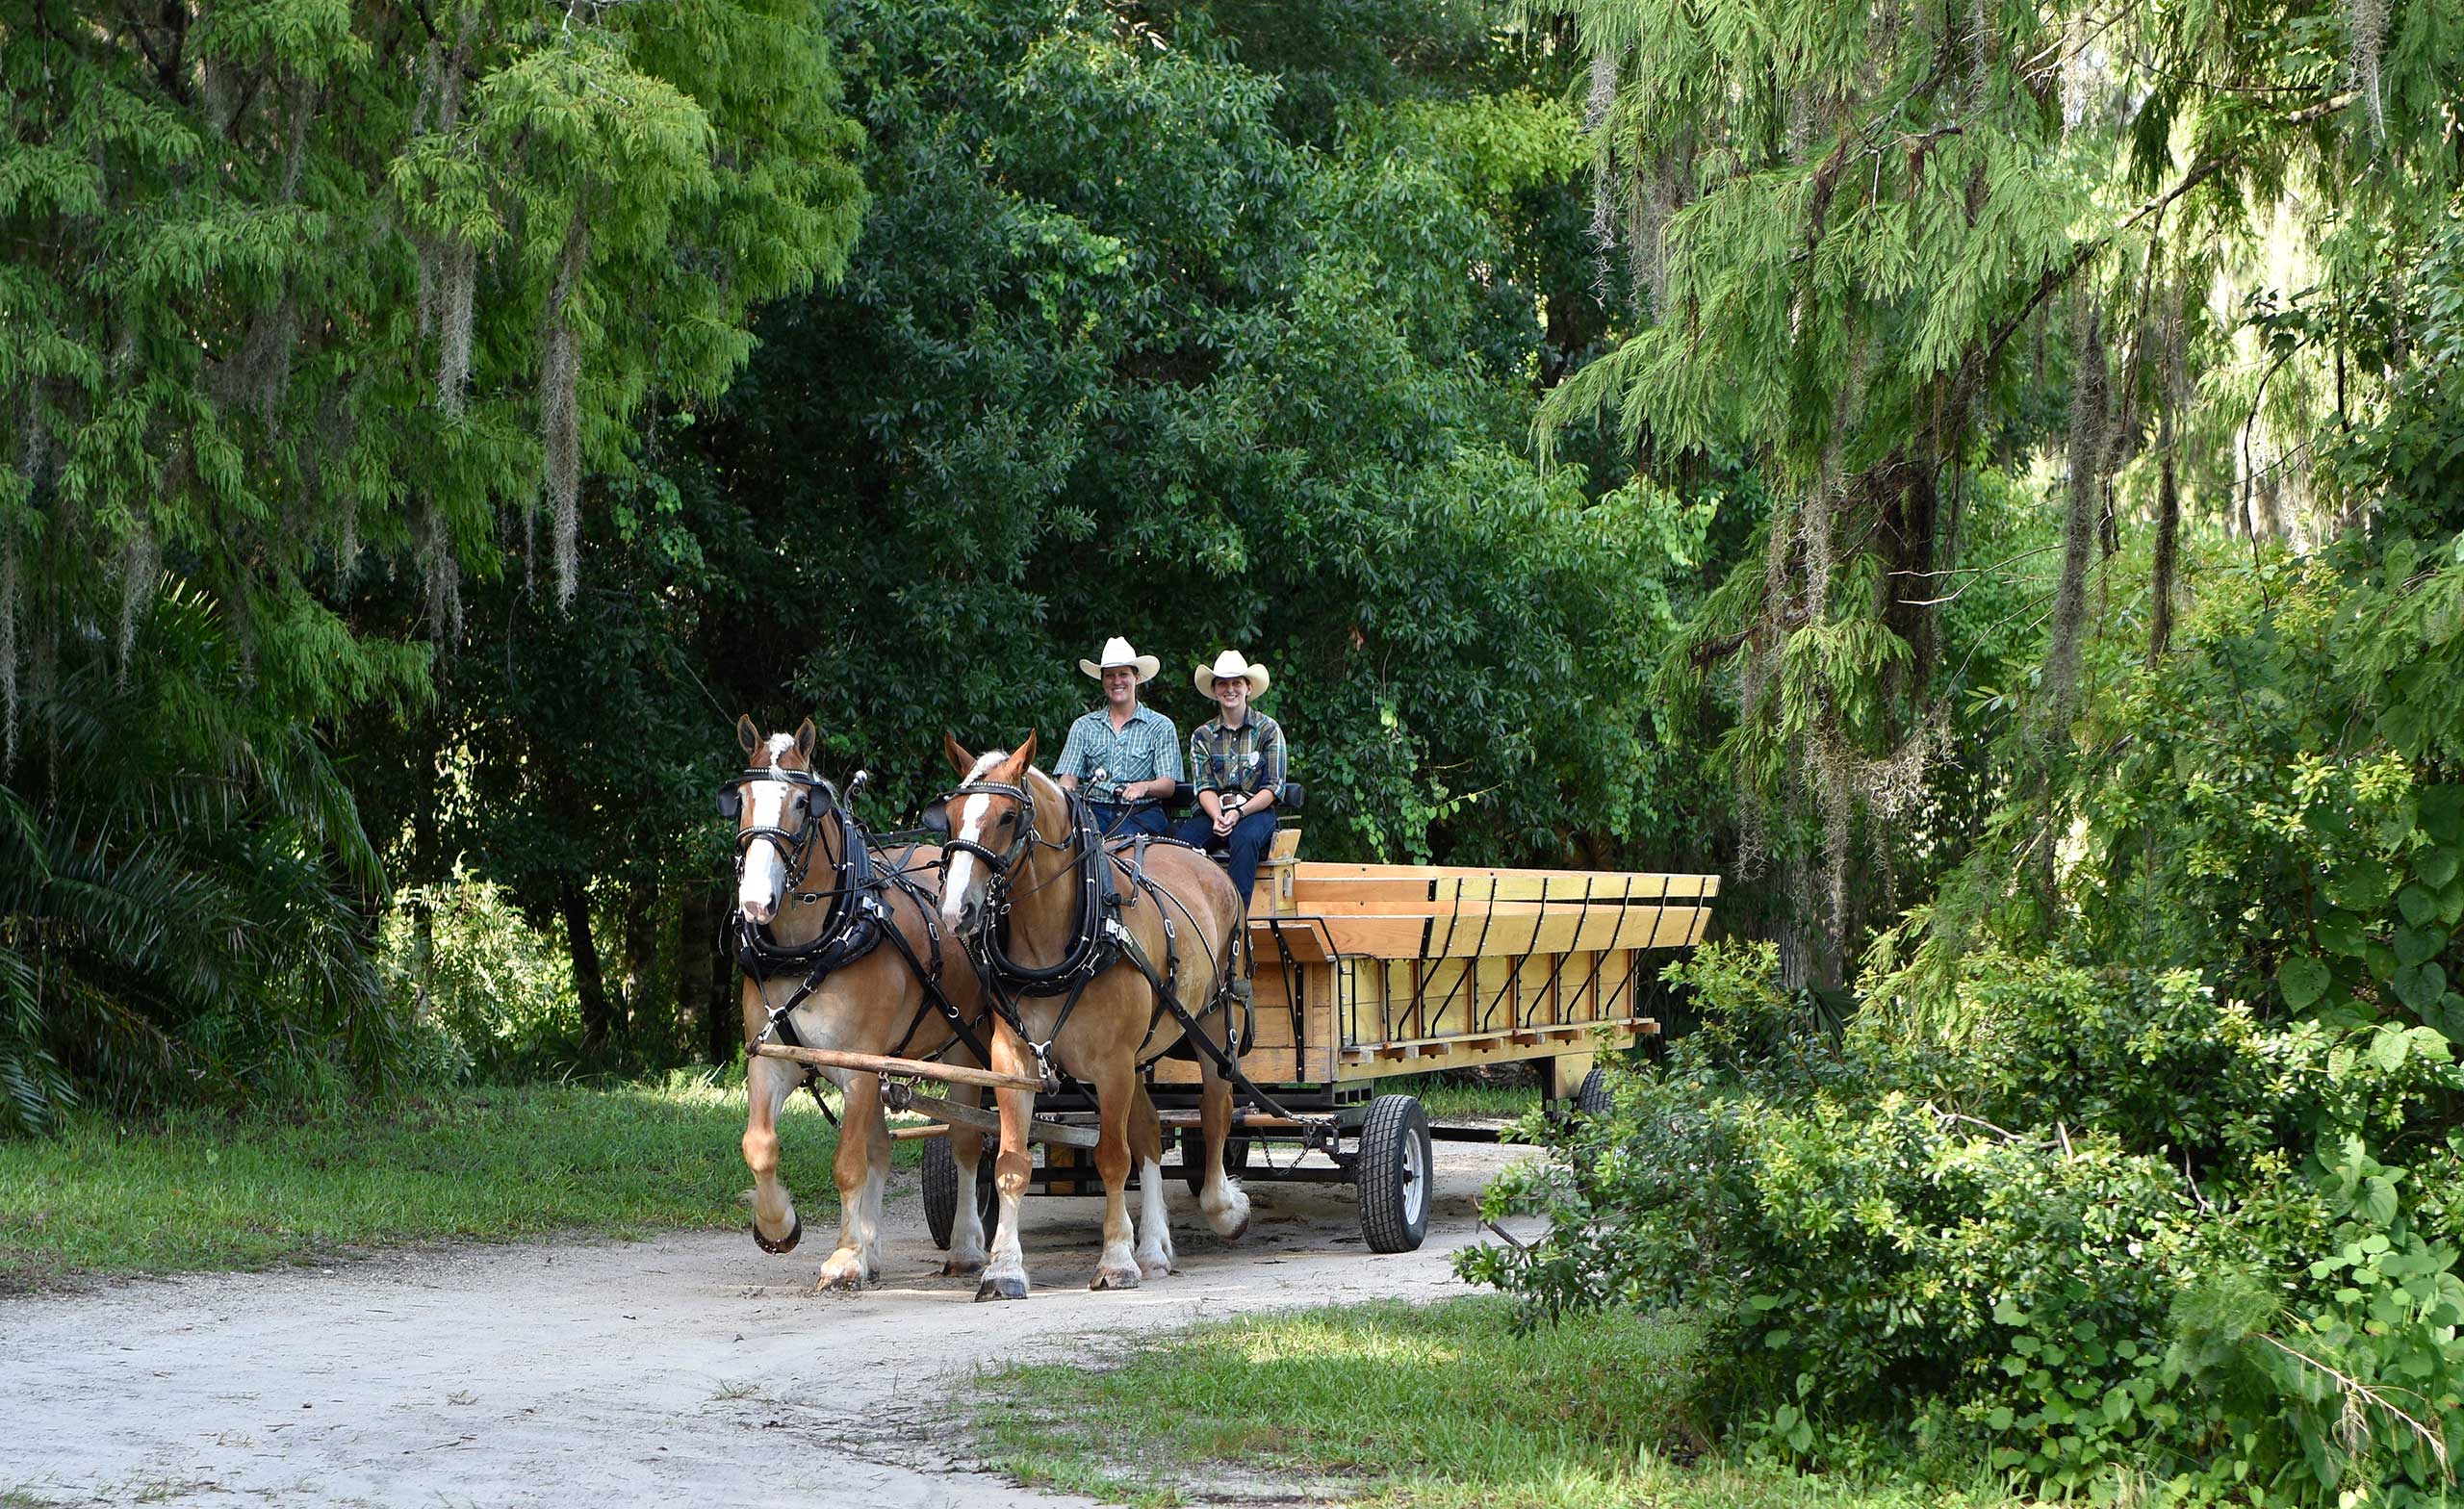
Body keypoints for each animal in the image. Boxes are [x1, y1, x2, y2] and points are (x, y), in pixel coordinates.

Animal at [936, 729, 1261, 1292]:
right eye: (952, 815)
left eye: (1007, 816)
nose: (958, 911)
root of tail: (1206, 863)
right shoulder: (1014, 1059)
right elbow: (1011, 1162)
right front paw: (1004, 1268)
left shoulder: (1111, 1065)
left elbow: (1112, 1157)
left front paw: (1114, 1260)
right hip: (1139, 1053)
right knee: (1150, 1132)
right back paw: (1153, 1247)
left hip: (1216, 1023)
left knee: (1215, 1111)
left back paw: (1224, 1208)